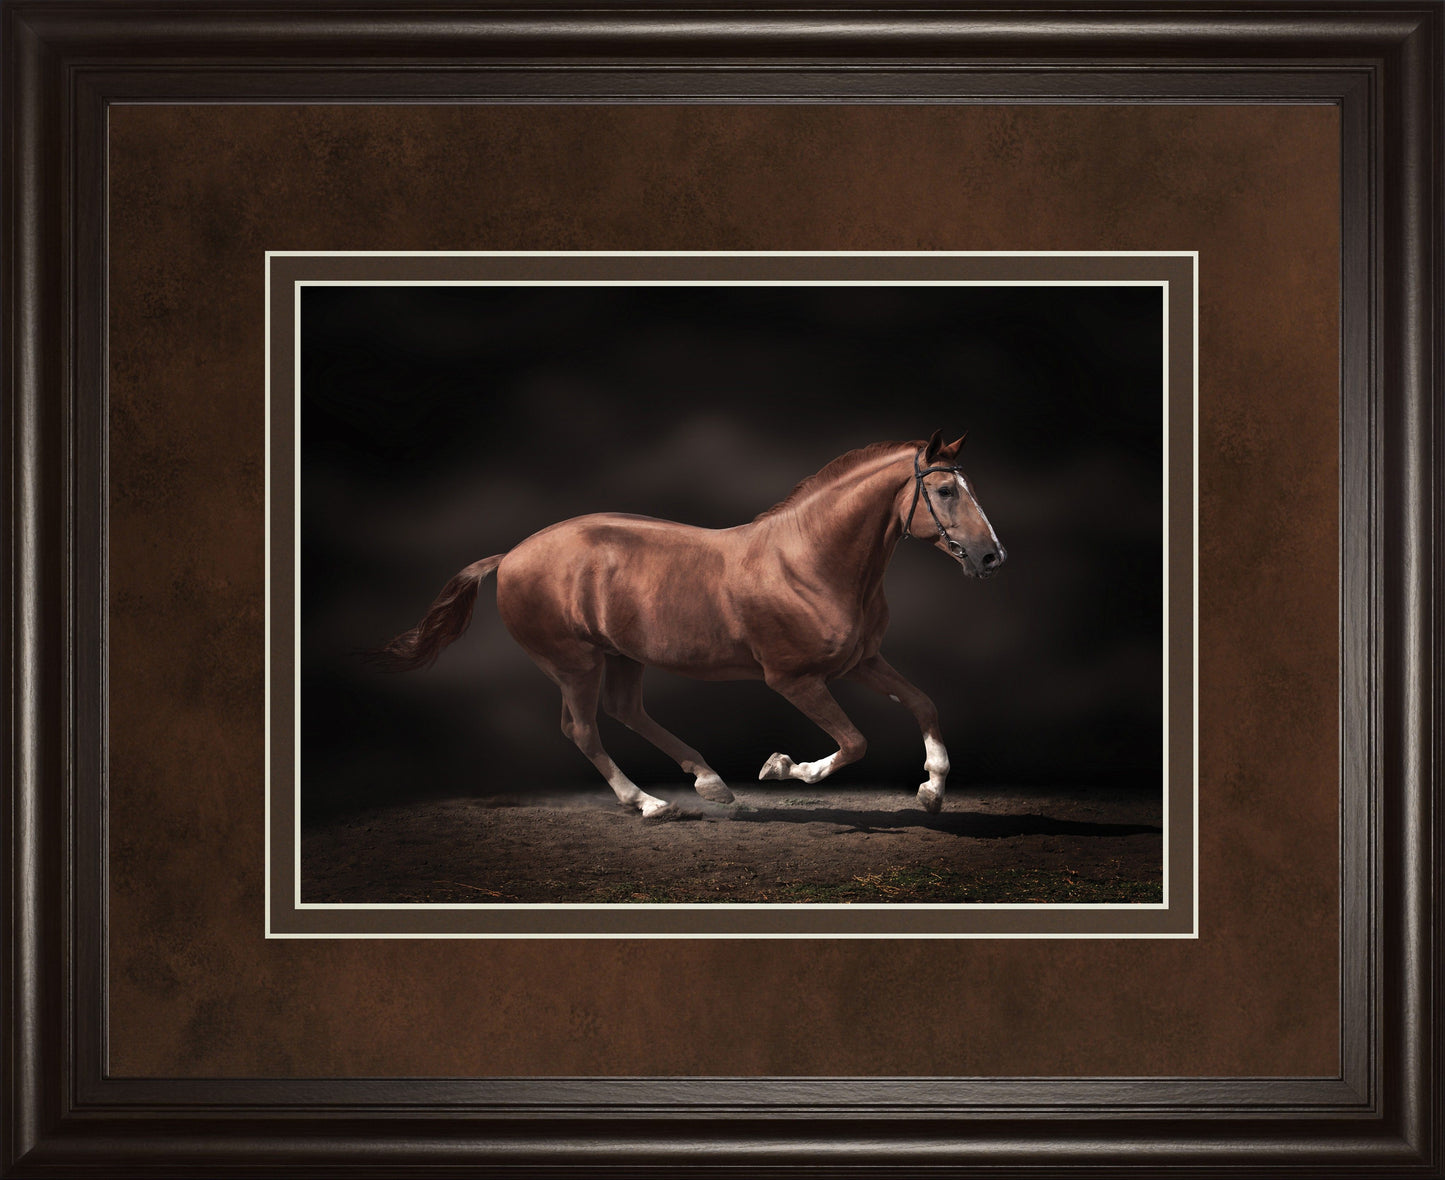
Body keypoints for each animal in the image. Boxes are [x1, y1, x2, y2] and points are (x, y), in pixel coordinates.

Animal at [372, 430, 1006, 818]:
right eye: (945, 490)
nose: (991, 557)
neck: (809, 560)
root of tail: (510, 555)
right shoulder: (794, 680)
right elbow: (853, 743)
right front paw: (782, 768)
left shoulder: (861, 662)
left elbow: (923, 703)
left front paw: (931, 789)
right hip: (575, 663)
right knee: (582, 729)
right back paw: (649, 803)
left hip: (622, 656)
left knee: (625, 711)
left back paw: (708, 783)